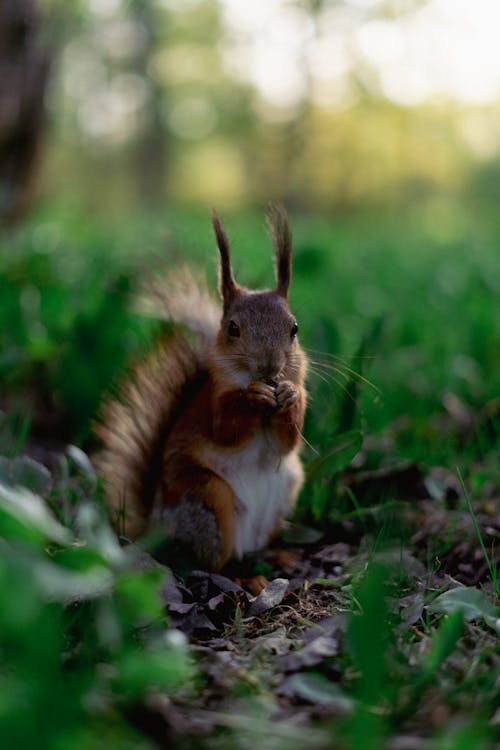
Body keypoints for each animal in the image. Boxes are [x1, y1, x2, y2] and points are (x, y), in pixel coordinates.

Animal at [96, 209, 308, 580]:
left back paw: (277, 558)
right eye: (233, 328)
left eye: (294, 328)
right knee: (214, 562)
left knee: (249, 550)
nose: (269, 367)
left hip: (287, 487)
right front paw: (254, 396)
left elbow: (289, 440)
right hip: (207, 496)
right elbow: (226, 429)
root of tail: (153, 527)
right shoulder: (212, 401)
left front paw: (289, 395)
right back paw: (243, 577)